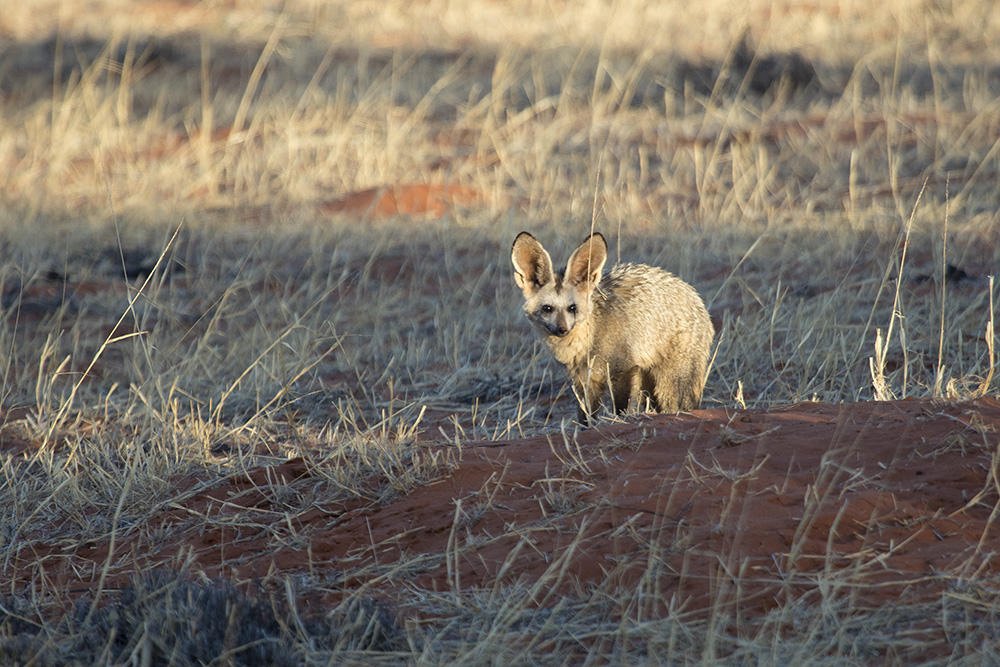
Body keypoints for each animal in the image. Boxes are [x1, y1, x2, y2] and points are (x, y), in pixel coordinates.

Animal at [512, 232, 716, 426]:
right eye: (547, 308)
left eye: (572, 308)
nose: (562, 329)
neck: (587, 343)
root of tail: (694, 295)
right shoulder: (584, 381)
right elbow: (586, 418)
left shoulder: (623, 369)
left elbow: (621, 410)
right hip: (648, 382)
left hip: (670, 381)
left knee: (676, 406)